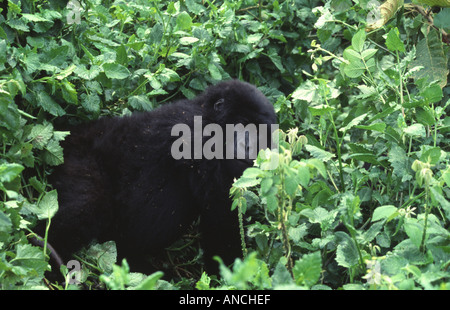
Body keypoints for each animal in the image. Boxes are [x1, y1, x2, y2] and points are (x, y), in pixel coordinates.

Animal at [42, 79, 276, 274]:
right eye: (243, 123)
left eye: (259, 131)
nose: (249, 146)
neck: (208, 116)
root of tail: (67, 137)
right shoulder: (200, 141)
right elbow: (221, 219)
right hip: (79, 157)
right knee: (90, 207)